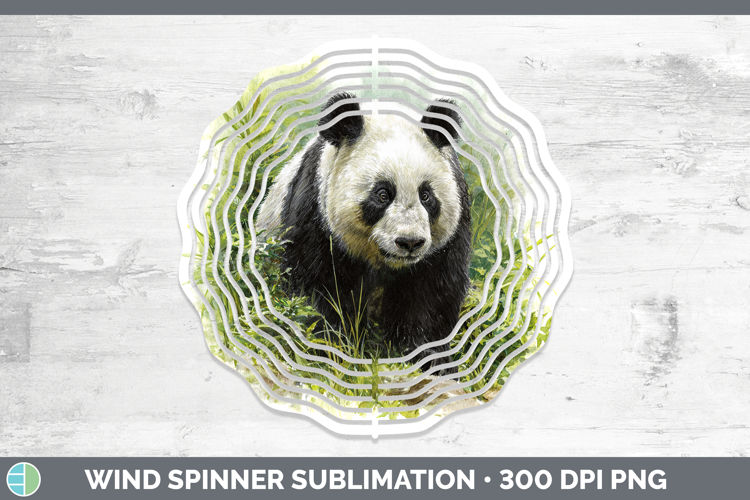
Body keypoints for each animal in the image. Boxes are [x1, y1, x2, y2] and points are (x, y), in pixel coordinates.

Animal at [256, 92, 471, 371]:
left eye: (426, 196)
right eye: (382, 195)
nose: (409, 242)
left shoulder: (447, 239)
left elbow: (431, 296)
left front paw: (428, 359)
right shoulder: (315, 211)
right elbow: (318, 287)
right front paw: (336, 351)